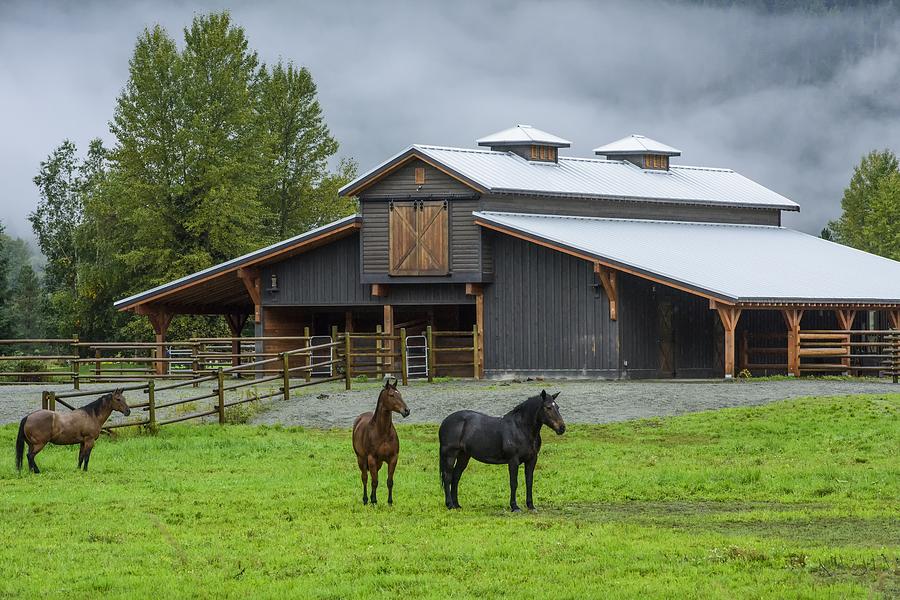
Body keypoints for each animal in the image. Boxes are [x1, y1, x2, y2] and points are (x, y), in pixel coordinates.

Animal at [440, 390, 568, 510]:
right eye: (548, 407)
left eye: (557, 407)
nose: (562, 428)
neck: (520, 429)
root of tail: (445, 422)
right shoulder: (513, 461)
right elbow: (513, 483)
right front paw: (514, 506)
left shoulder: (532, 459)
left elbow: (529, 482)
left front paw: (531, 506)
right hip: (450, 455)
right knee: (447, 477)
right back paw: (450, 504)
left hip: (464, 455)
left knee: (456, 476)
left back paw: (457, 505)